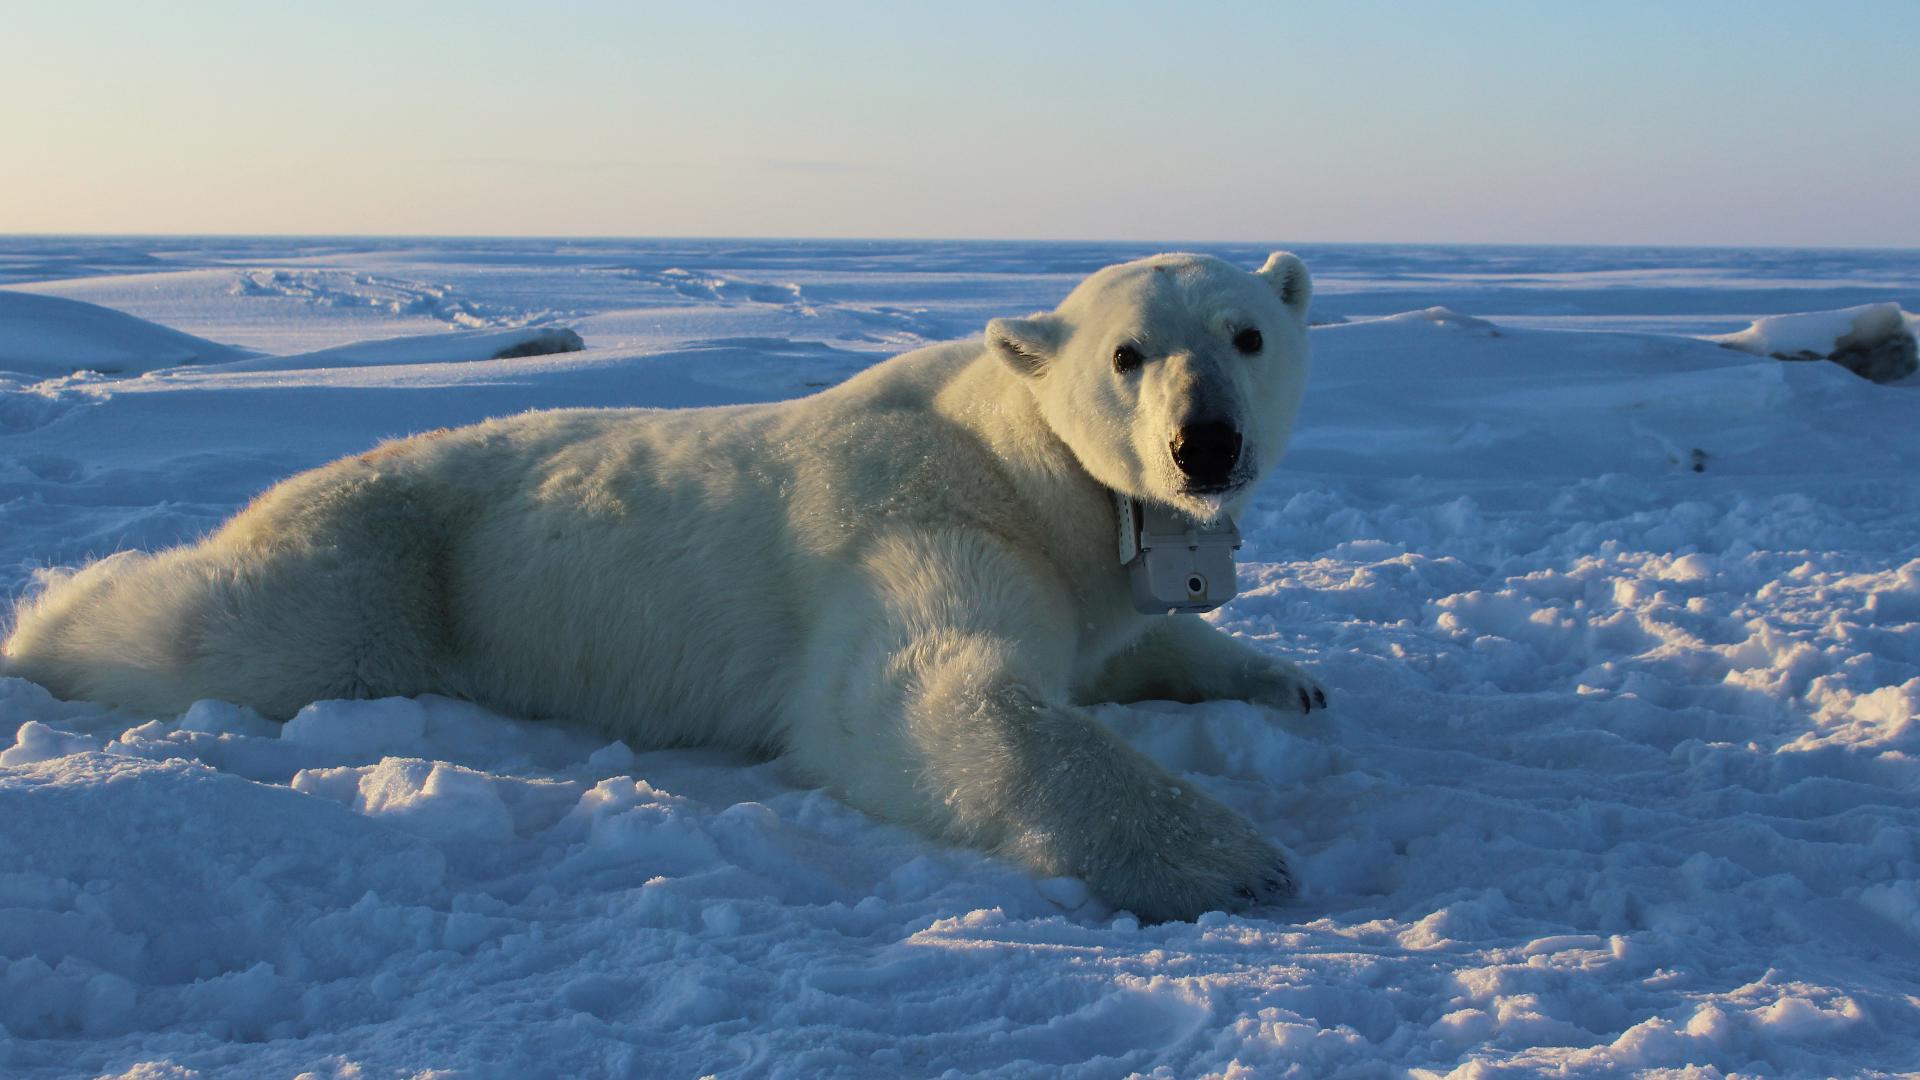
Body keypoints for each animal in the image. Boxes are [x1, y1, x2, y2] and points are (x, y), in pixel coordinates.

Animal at [3, 252, 1326, 922]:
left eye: (1247, 334)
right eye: (1127, 353)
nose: (1204, 444)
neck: (1020, 463)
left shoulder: (1080, 568)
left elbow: (1133, 639)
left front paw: (1287, 682)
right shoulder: (922, 521)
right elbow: (918, 695)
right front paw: (1233, 859)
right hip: (380, 574)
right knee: (211, 630)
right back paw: (44, 625)